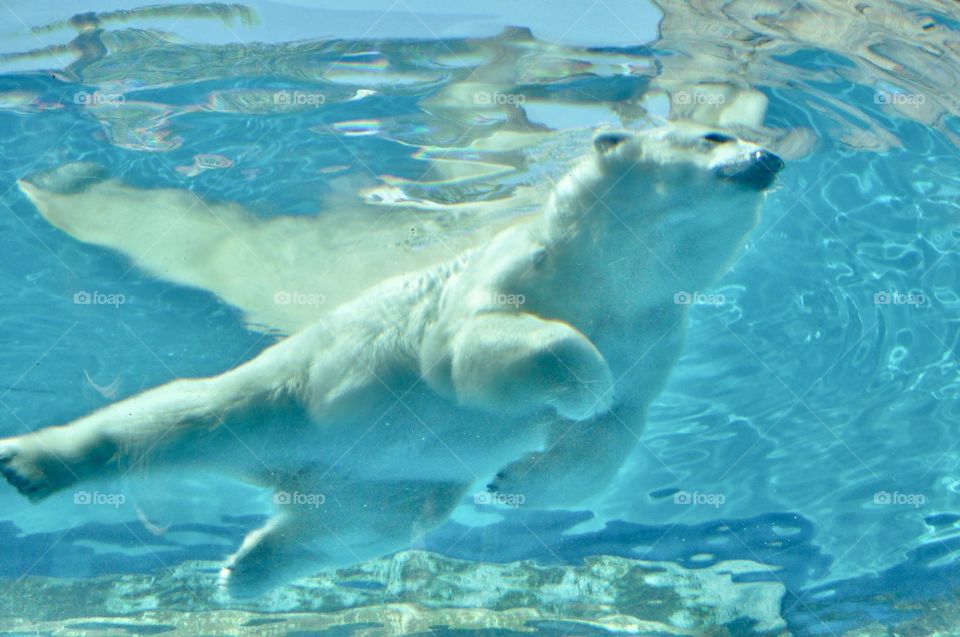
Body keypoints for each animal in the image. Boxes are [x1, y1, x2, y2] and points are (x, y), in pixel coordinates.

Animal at [0, 123, 780, 596]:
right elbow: (476, 352)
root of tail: (295, 473)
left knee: (350, 529)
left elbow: (615, 428)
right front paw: (579, 382)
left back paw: (246, 568)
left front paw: (518, 481)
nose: (770, 155)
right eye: (714, 133)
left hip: (385, 485)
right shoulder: (509, 271)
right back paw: (33, 463)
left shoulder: (657, 330)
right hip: (290, 396)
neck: (613, 276)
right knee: (180, 417)